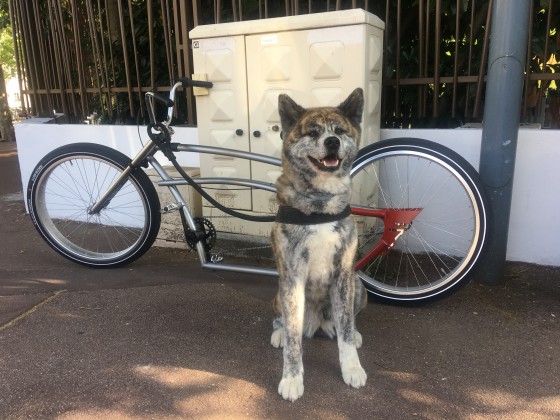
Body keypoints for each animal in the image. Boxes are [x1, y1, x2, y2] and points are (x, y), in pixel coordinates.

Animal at [270, 88, 368, 400]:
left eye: (339, 131)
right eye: (313, 132)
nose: (331, 141)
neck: (321, 205)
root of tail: (318, 325)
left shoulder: (343, 274)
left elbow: (346, 331)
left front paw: (352, 368)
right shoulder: (291, 278)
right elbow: (293, 340)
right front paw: (291, 379)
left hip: (358, 285)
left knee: (348, 320)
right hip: (280, 293)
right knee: (281, 322)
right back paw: (278, 333)